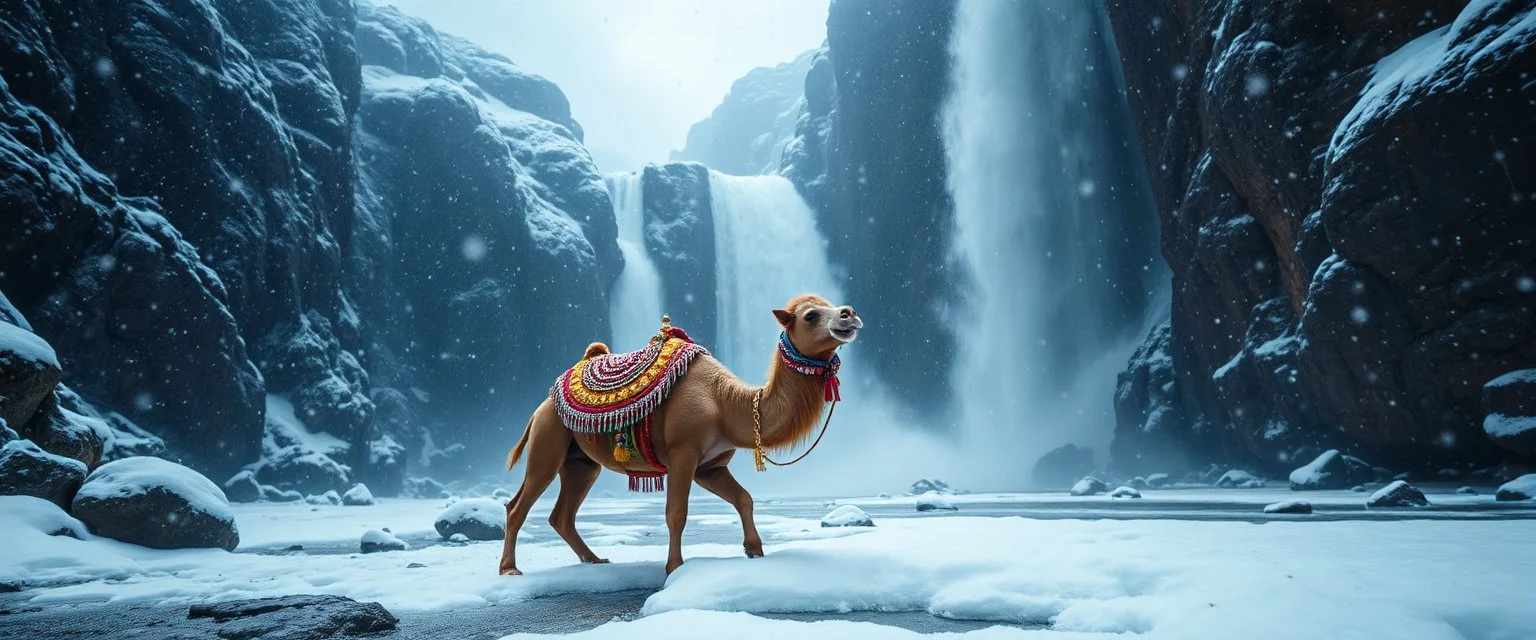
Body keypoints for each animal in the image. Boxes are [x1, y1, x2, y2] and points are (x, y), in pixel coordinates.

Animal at [498, 293, 862, 576]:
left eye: (830, 304)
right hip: (548, 438)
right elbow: (677, 512)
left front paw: (754, 551)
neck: (725, 403)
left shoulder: (710, 466)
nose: (849, 312)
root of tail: (542, 406)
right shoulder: (683, 452)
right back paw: (510, 569)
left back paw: (595, 560)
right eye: (811, 315)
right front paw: (674, 567)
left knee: (562, 514)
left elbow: (744, 498)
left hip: (581, 462)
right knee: (518, 504)